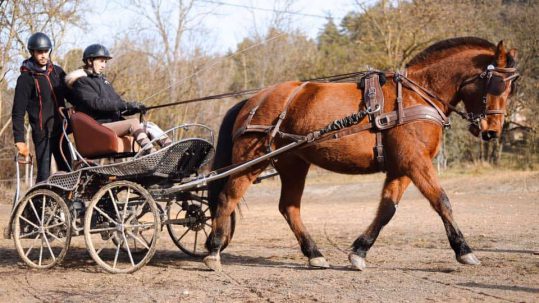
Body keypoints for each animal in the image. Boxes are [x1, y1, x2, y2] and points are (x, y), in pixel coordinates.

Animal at [202, 36, 520, 272]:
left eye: (511, 89)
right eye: (497, 84)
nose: (492, 131)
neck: (417, 95)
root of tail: (255, 99)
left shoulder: (401, 168)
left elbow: (387, 209)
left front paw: (359, 251)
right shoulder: (416, 162)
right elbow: (441, 201)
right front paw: (464, 250)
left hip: (293, 164)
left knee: (289, 207)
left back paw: (314, 253)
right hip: (250, 161)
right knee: (228, 198)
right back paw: (214, 250)